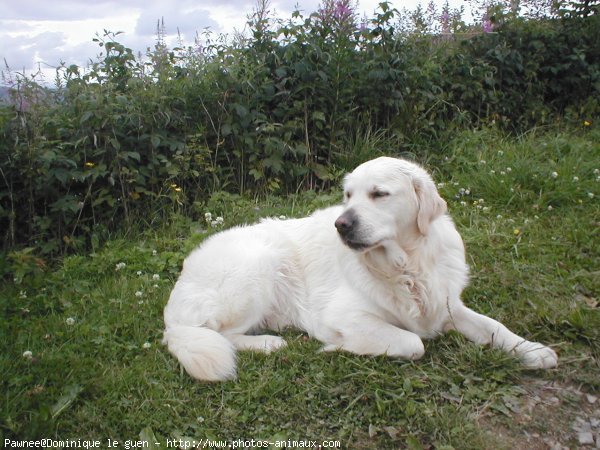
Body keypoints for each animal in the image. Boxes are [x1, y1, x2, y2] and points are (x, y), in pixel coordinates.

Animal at [163, 157, 556, 380]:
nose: (341, 224)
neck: (405, 266)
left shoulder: (446, 304)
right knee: (218, 334)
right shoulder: (343, 315)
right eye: (348, 195)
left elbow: (493, 326)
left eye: (379, 194)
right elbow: (414, 342)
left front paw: (533, 350)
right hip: (259, 266)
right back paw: (268, 343)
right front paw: (337, 347)